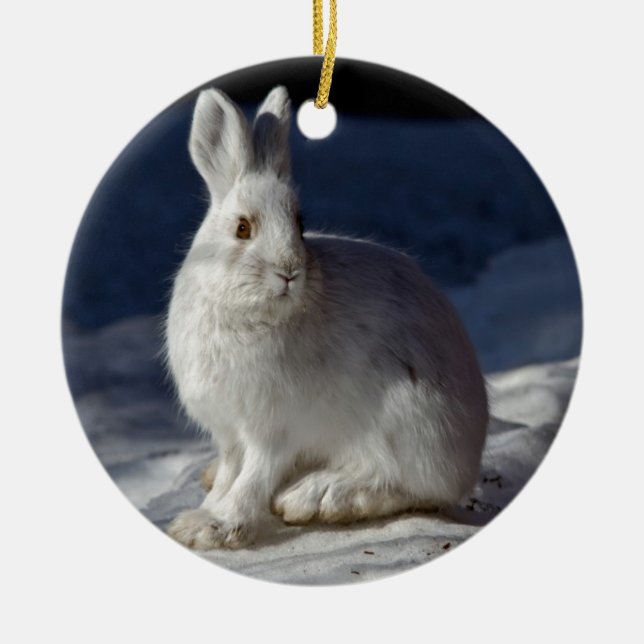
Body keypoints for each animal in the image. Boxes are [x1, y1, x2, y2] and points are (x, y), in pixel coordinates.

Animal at [164, 85, 489, 550]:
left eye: (300, 225)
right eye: (243, 228)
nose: (289, 271)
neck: (253, 314)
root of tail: (469, 452)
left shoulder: (274, 428)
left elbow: (253, 476)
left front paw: (218, 526)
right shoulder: (229, 431)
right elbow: (230, 471)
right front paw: (201, 516)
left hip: (406, 419)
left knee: (406, 484)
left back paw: (320, 495)